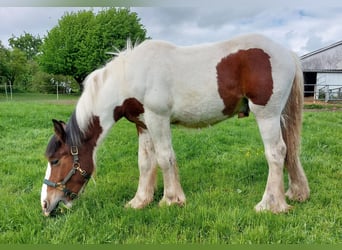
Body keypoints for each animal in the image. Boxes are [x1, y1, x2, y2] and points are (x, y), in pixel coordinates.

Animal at [40, 33, 310, 217]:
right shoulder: (143, 124)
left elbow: (164, 157)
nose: (45, 204)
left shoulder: (158, 118)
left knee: (276, 153)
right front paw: (140, 201)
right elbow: (145, 162)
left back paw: (270, 204)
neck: (131, 77)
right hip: (280, 116)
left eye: (56, 160)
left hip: (266, 114)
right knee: (290, 151)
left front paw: (171, 199)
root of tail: (286, 53)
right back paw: (296, 194)